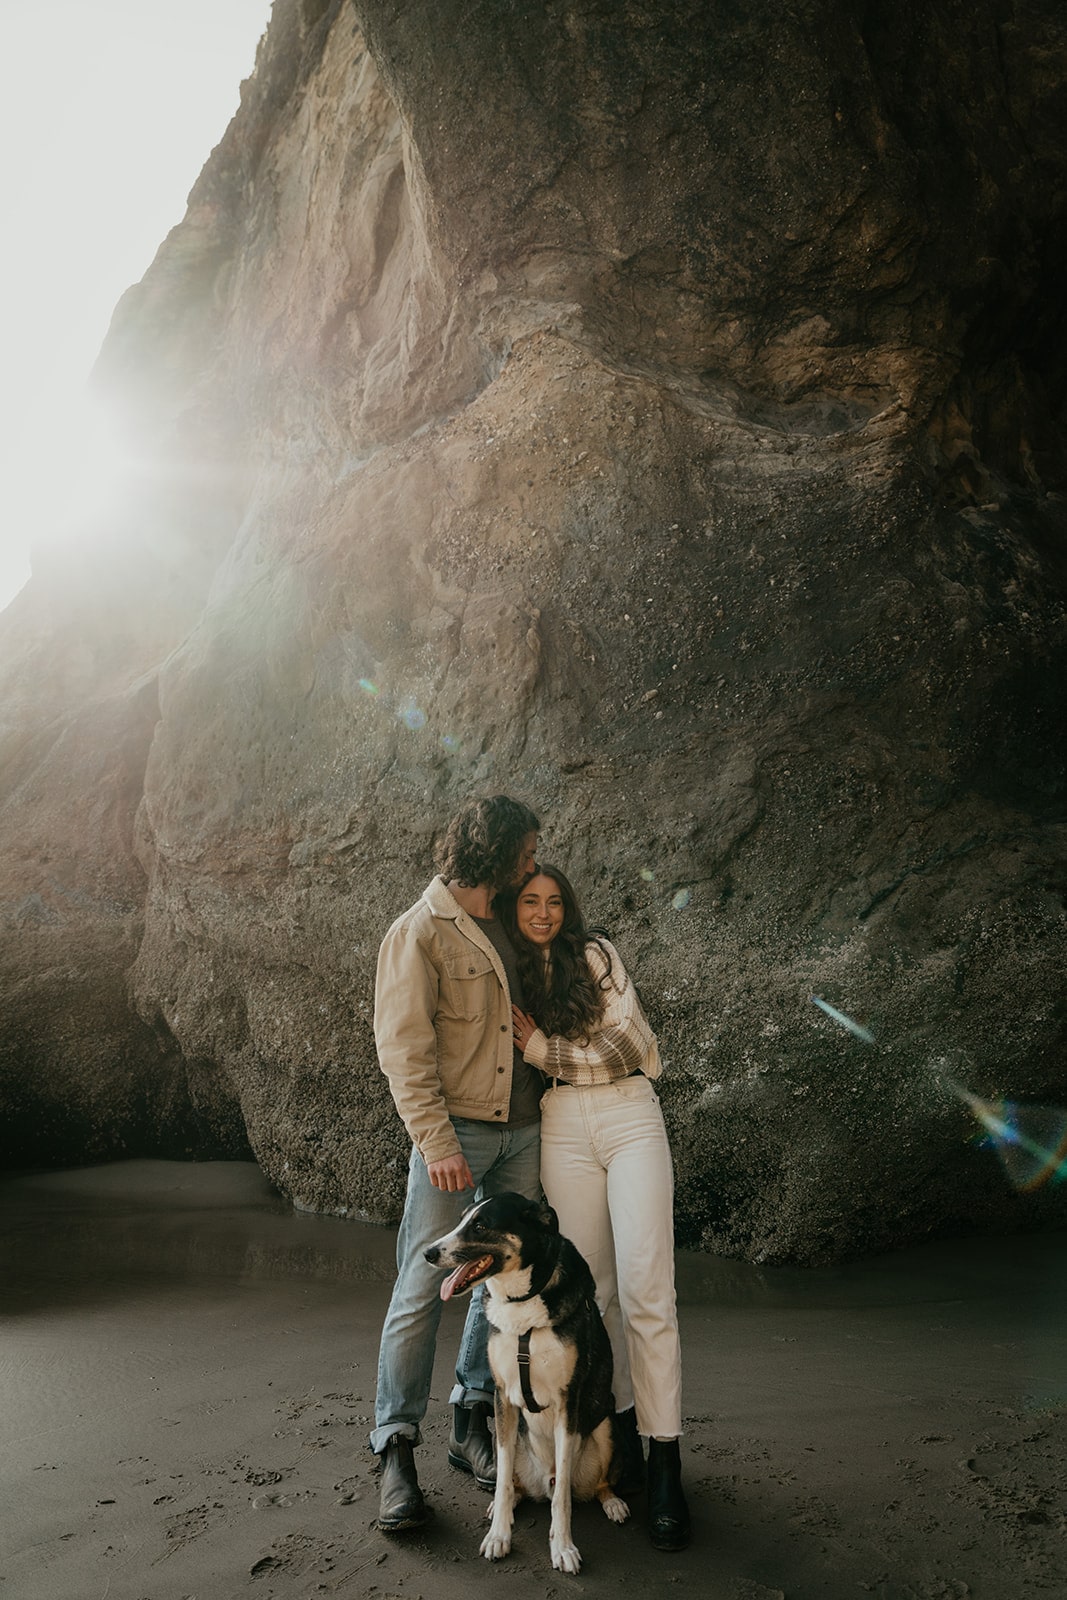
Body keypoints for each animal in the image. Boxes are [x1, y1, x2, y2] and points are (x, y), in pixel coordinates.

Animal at [422, 1190, 630, 1574]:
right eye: (463, 1219)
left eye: (481, 1225)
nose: (428, 1253)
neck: (523, 1302)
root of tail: (543, 1480)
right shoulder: (504, 1398)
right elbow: (503, 1481)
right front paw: (498, 1535)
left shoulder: (567, 1402)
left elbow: (562, 1498)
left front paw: (563, 1547)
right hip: (514, 1439)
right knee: (515, 1483)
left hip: (606, 1427)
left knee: (594, 1485)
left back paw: (613, 1503)